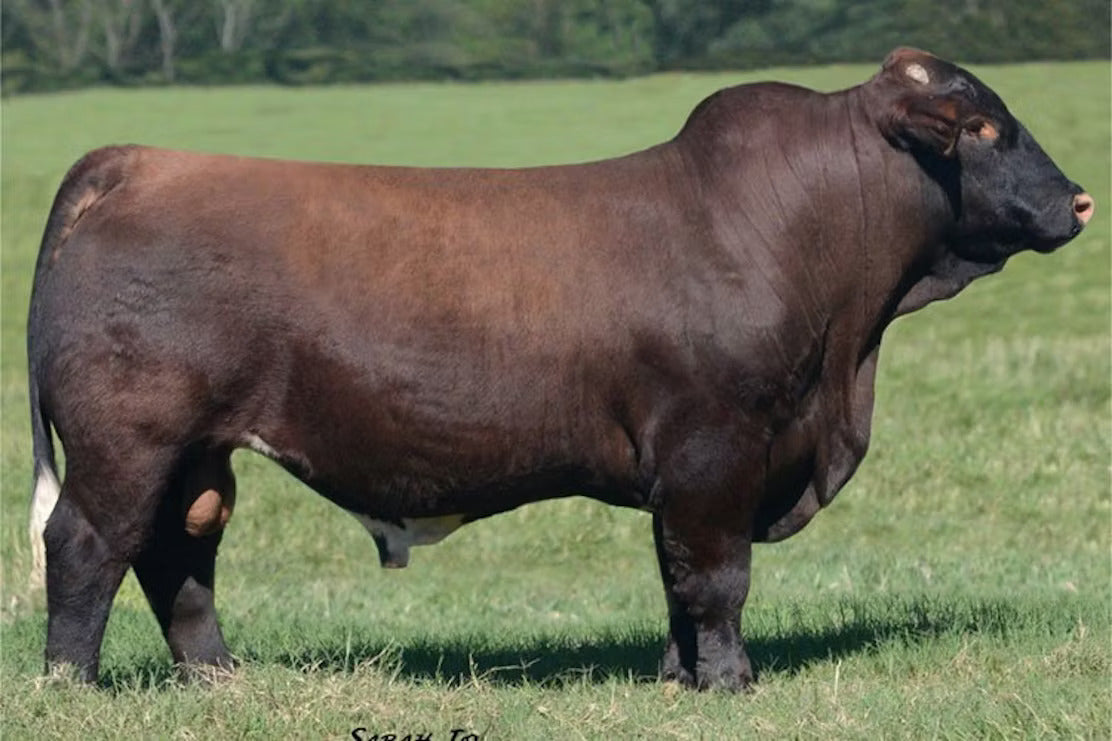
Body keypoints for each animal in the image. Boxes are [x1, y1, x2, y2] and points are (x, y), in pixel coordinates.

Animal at [27, 48, 1092, 690]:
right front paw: (733, 682)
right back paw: (72, 683)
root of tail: (135, 160)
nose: (1081, 200)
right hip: (128, 439)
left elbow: (676, 579)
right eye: (983, 130)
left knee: (178, 555)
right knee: (87, 543)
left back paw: (220, 676)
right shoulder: (716, 451)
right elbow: (716, 576)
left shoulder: (691, 471)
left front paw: (678, 679)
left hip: (197, 454)